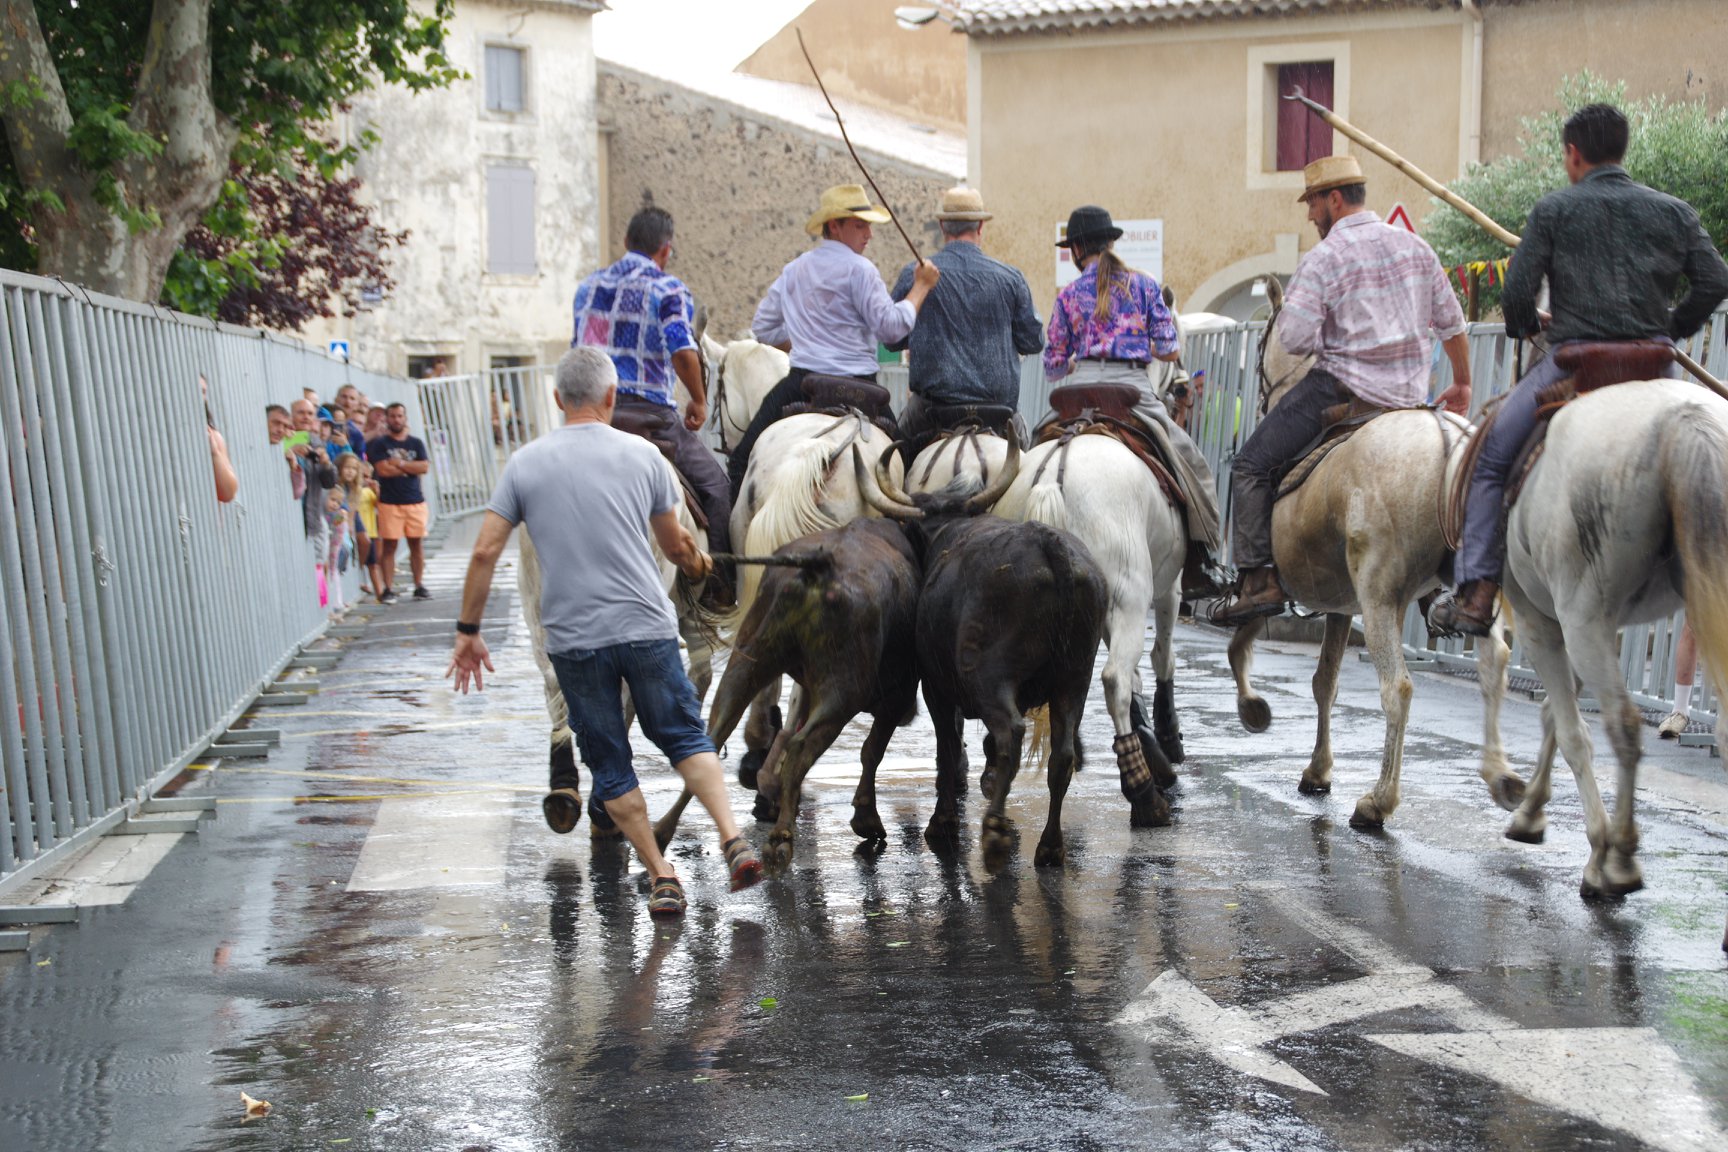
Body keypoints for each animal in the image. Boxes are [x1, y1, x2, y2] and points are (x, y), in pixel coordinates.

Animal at [1486, 385, 1728, 925]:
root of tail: (1685, 417)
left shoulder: (1548, 623)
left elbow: (1572, 729)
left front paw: (1601, 850)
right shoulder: (1580, 629)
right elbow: (1554, 715)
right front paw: (1530, 810)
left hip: (1582, 617)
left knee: (1622, 725)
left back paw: (1617, 860)